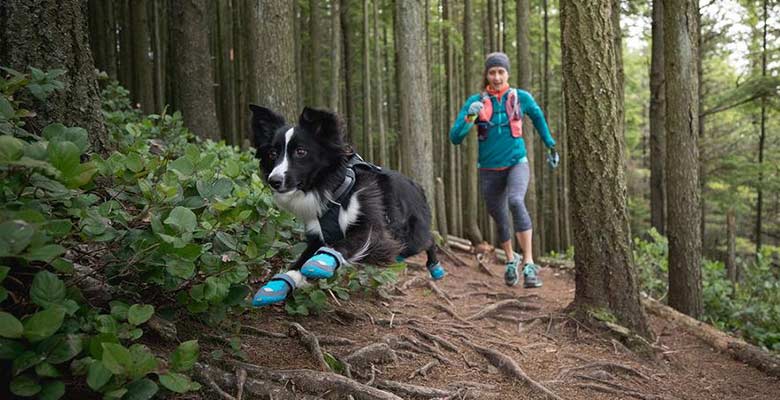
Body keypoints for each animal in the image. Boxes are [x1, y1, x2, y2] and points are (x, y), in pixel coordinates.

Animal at [250, 104, 444, 306]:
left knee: (429, 240)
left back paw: (435, 267)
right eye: (272, 153)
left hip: (412, 238)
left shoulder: (372, 227)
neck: (334, 189)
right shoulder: (318, 234)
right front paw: (277, 286)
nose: (274, 181)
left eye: (301, 152)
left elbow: (345, 243)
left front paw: (323, 260)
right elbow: (300, 260)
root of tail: (418, 186)